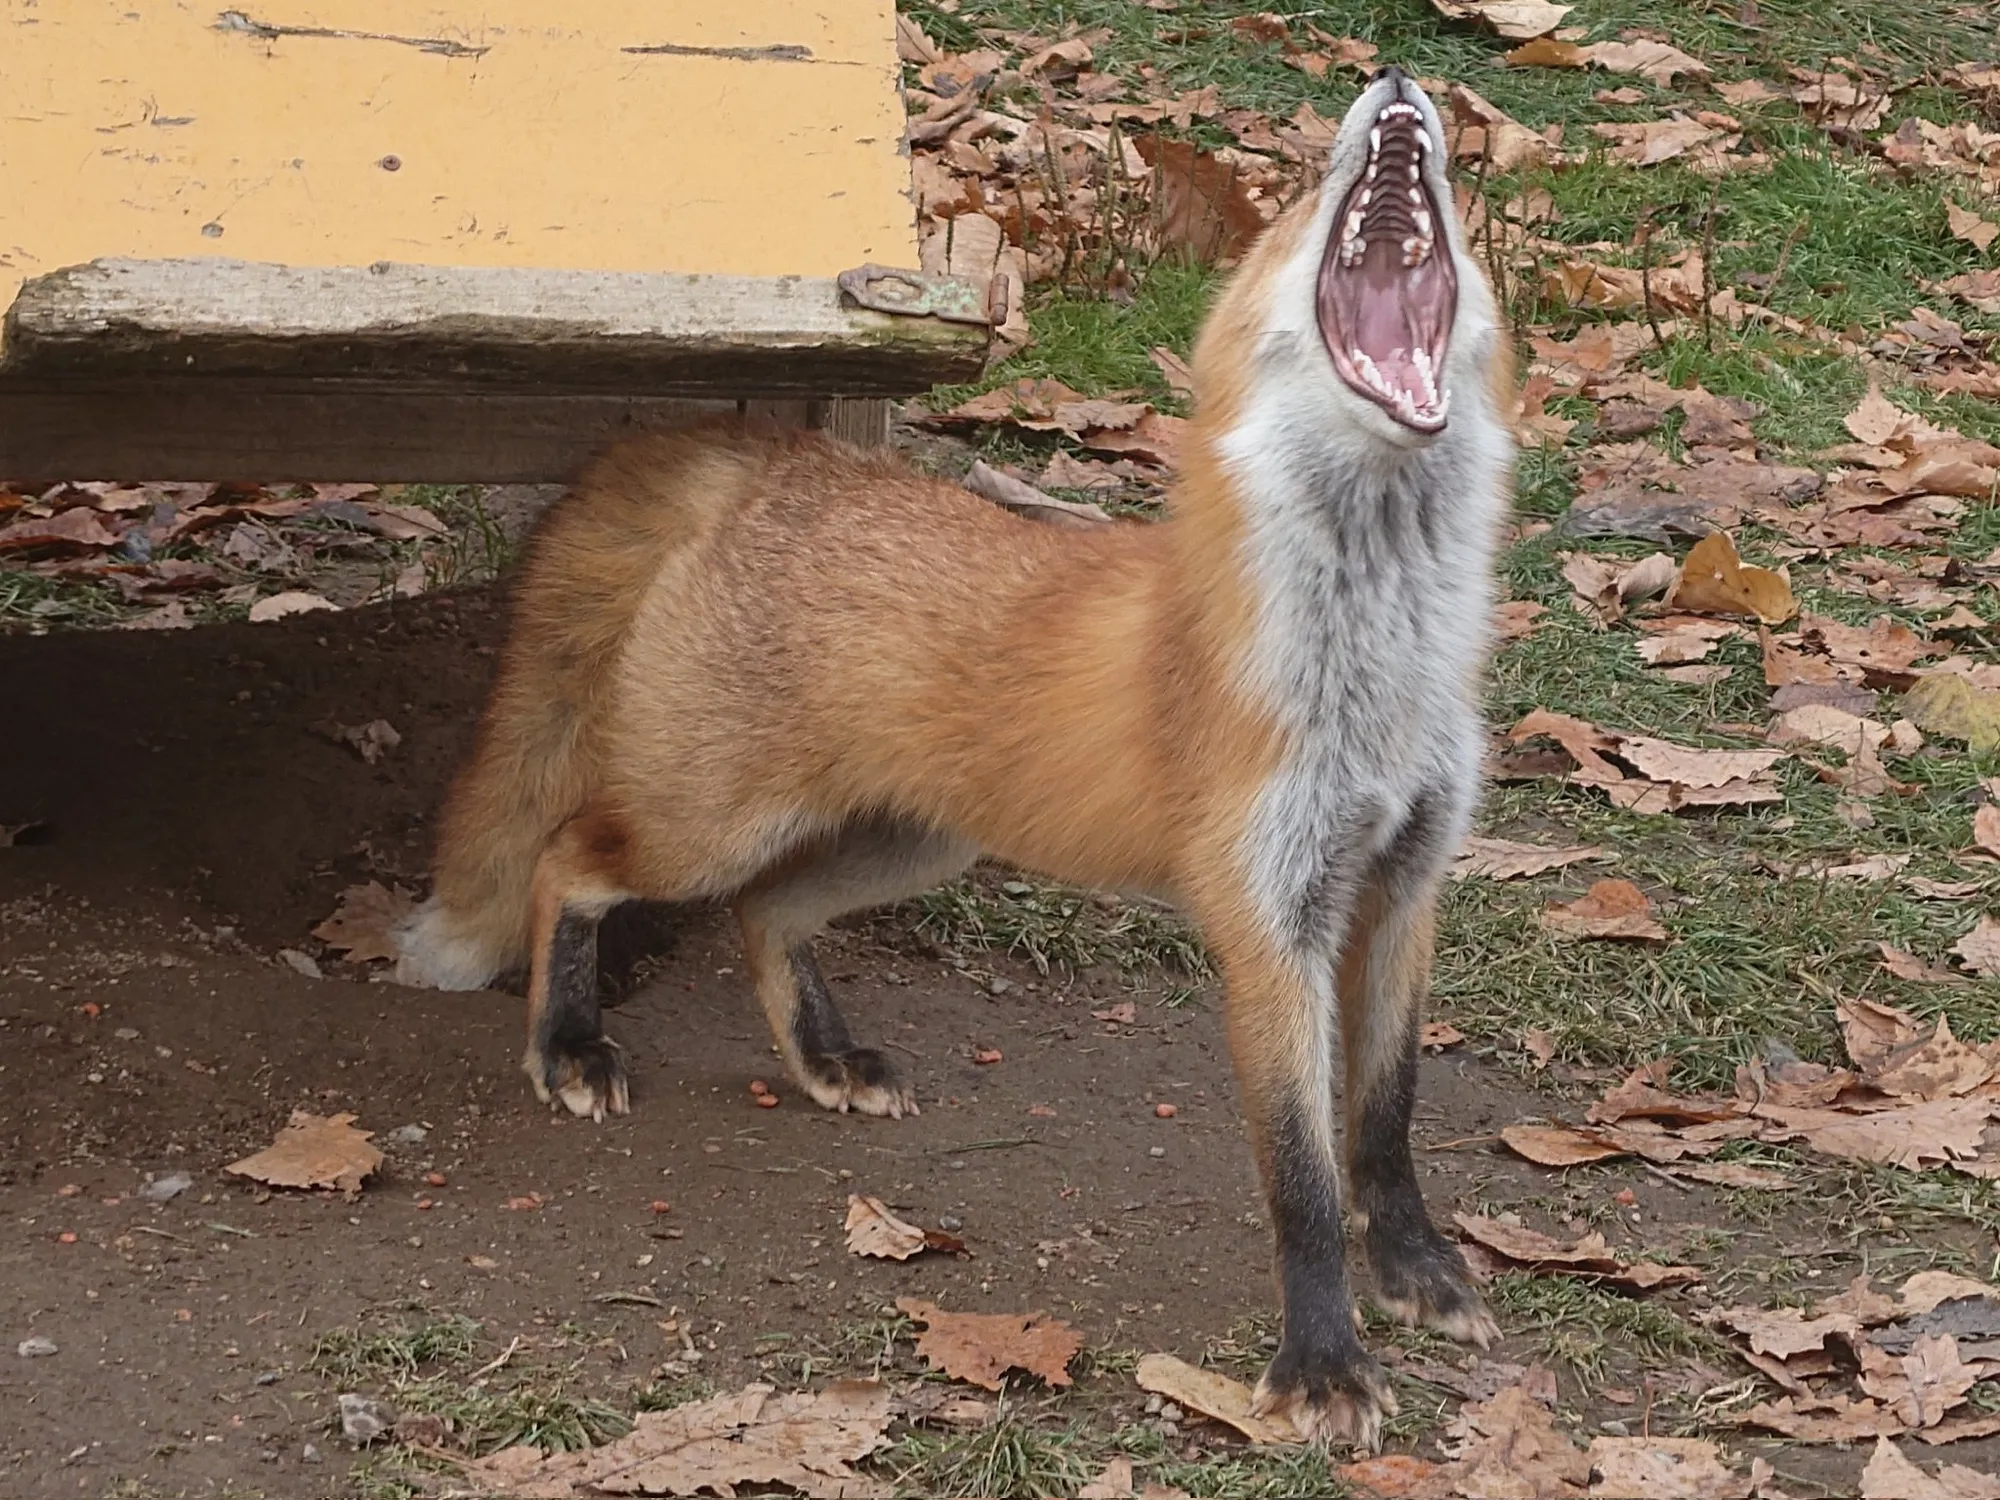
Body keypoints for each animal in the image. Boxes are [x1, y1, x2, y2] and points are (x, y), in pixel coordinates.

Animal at [397, 67, 1514, 1447]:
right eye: (1302, 204)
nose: (1400, 85)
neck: (1378, 675)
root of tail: (779, 463)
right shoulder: (1269, 921)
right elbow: (1302, 1178)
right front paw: (1321, 1363)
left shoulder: (1404, 884)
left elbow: (1387, 1119)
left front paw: (1414, 1271)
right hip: (707, 821)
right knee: (568, 858)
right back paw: (566, 1046)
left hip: (903, 843)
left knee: (764, 916)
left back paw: (820, 1059)